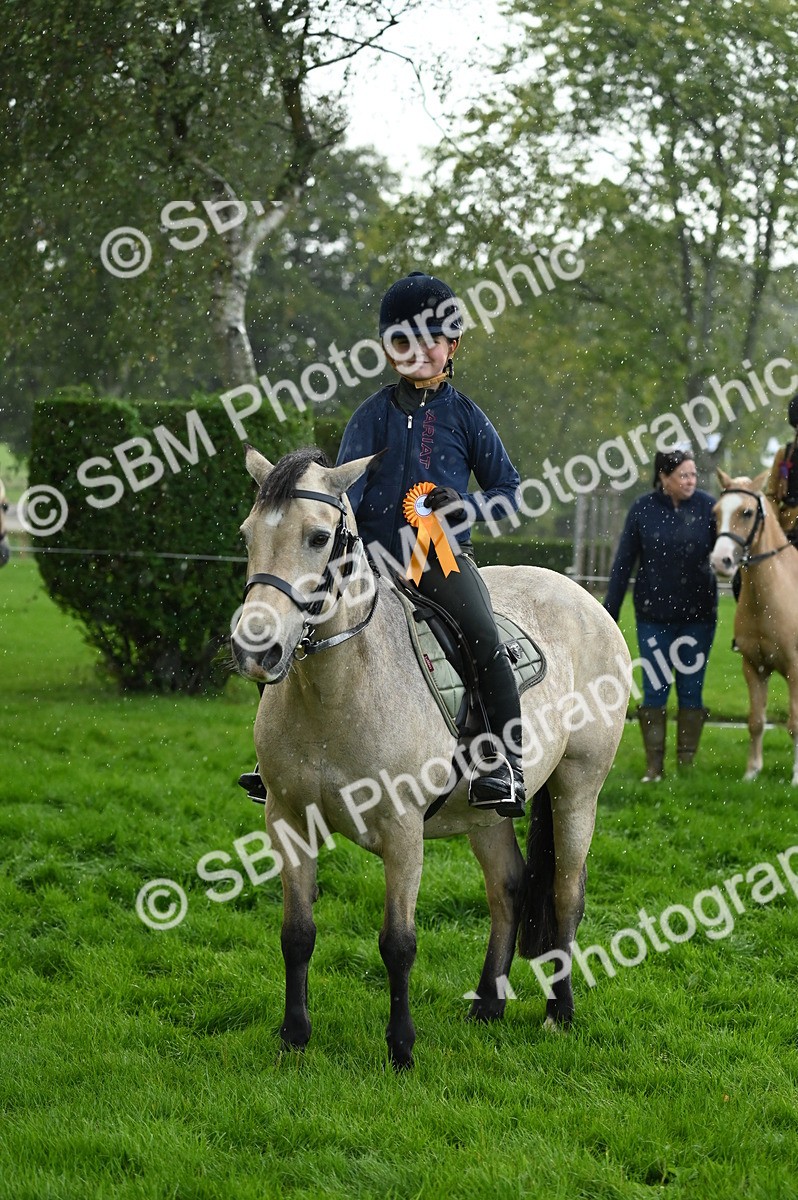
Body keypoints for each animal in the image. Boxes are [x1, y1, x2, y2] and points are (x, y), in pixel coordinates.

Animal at [230, 445, 631, 1068]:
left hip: (577, 790)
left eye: (318, 537)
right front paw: (294, 1037)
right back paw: (488, 1003)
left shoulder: (402, 832)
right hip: (485, 815)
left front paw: (401, 1047)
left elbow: (398, 943)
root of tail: (587, 601)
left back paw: (558, 1013)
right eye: (249, 534)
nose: (256, 649)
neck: (339, 688)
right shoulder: (287, 820)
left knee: (566, 894)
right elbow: (296, 935)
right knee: (509, 888)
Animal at [710, 469, 798, 786]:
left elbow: (795, 722)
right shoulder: (753, 666)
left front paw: (796, 777)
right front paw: (752, 772)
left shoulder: (795, 669)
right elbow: (756, 721)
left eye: (746, 512)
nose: (719, 561)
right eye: (716, 513)